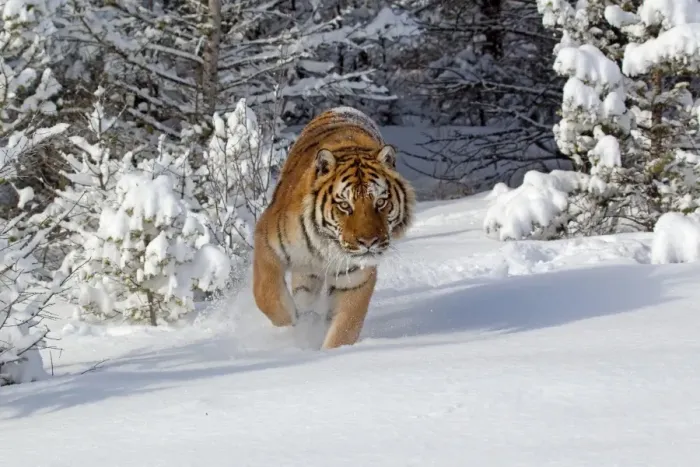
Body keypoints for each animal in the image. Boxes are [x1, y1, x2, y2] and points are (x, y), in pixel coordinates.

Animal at [252, 106, 416, 349]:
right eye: (345, 205)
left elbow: (345, 327)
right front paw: (292, 320)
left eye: (380, 202)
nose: (369, 243)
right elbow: (266, 293)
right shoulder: (266, 242)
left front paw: (331, 353)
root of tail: (343, 108)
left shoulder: (355, 278)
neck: (327, 245)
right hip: (305, 270)